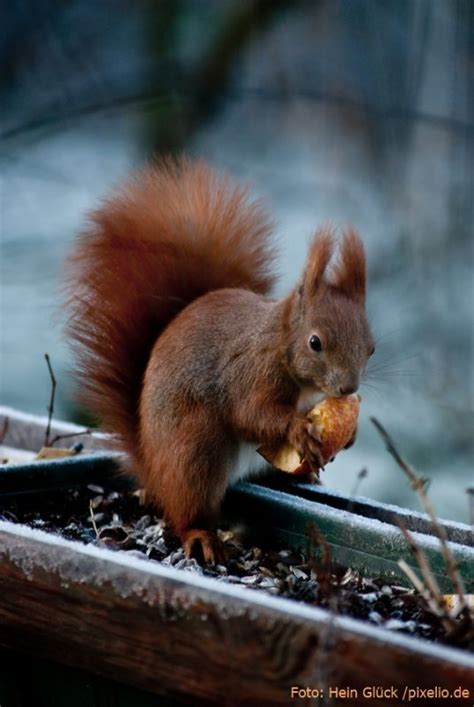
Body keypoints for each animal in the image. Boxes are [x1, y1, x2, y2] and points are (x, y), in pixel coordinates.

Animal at [65, 159, 374, 564]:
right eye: (315, 343)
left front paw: (350, 434)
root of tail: (151, 465)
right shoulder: (250, 373)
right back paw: (201, 536)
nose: (348, 387)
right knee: (188, 507)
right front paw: (296, 429)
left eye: (371, 347)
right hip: (196, 448)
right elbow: (252, 413)